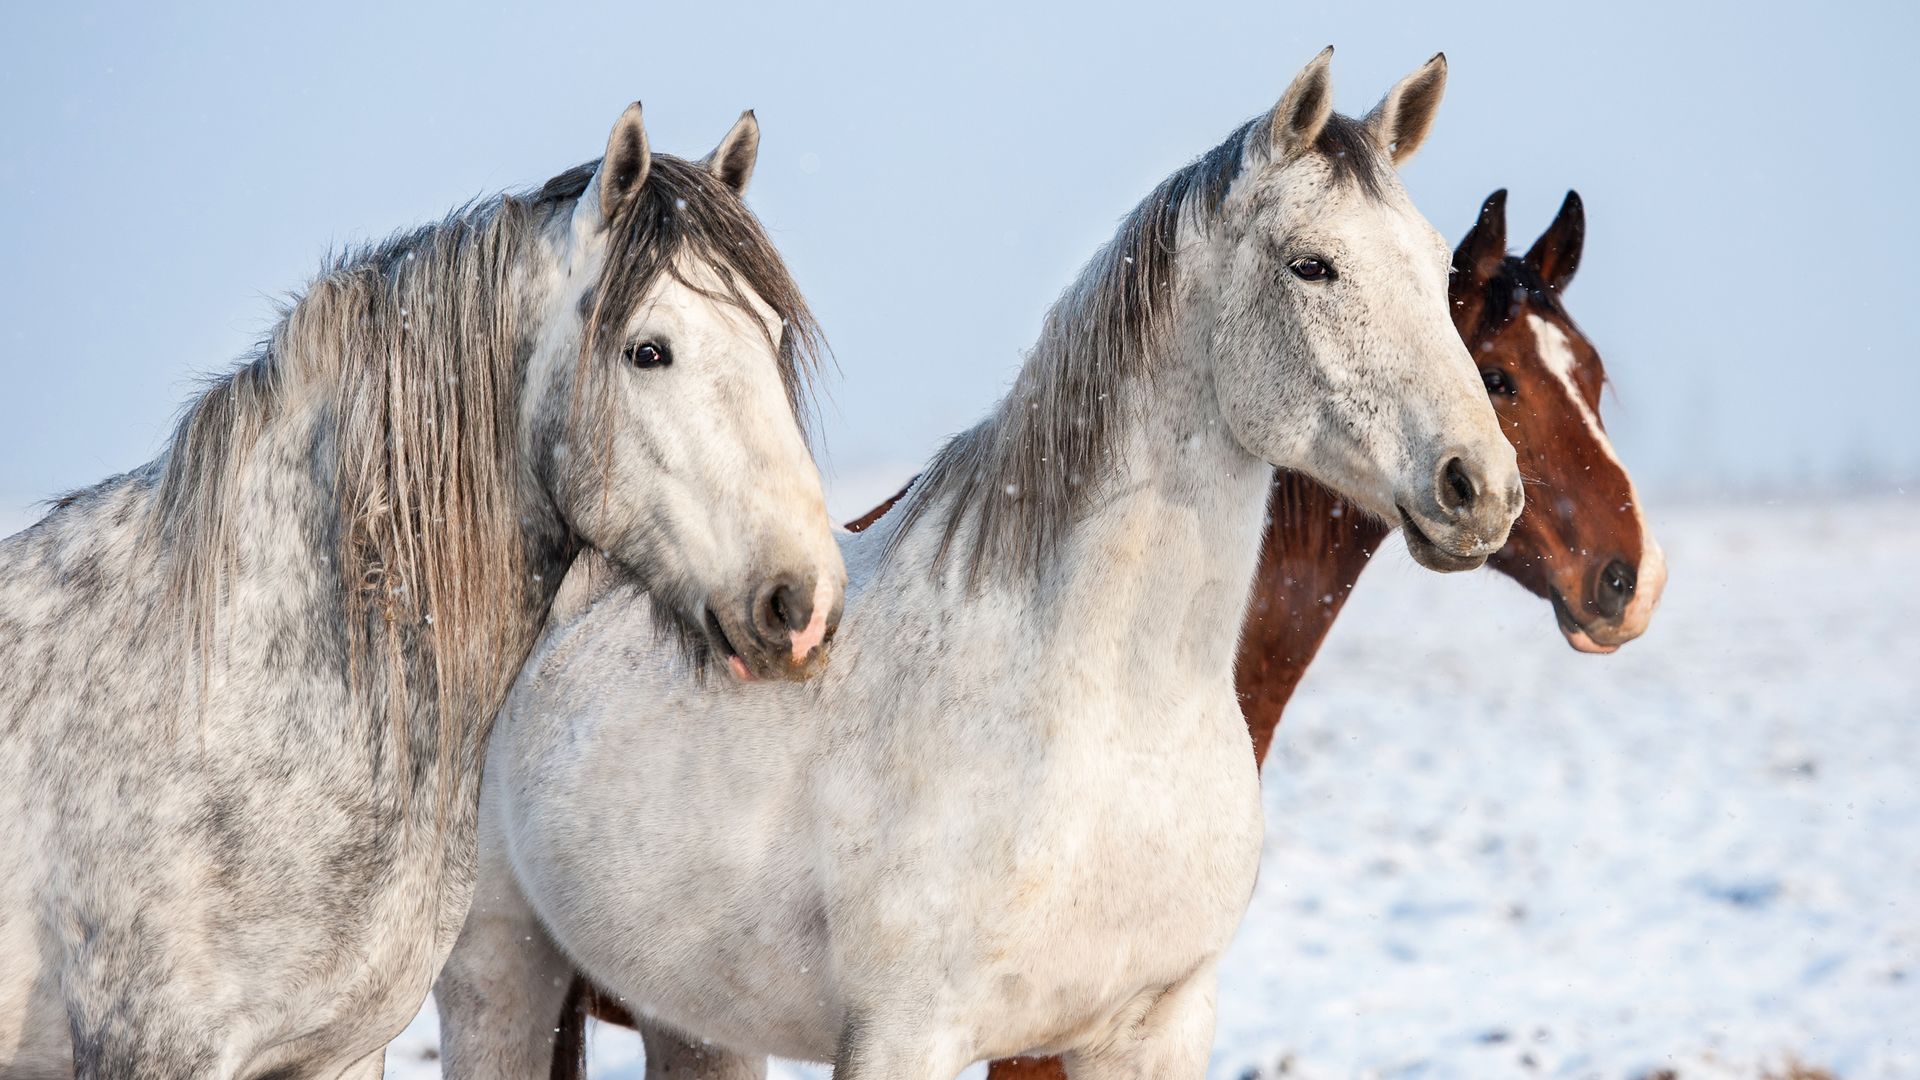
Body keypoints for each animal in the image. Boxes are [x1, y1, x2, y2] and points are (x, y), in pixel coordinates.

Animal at [0, 102, 844, 1076]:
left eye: (773, 338)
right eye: (648, 350)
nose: (804, 604)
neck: (233, 684)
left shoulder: (341, 1050)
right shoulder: (156, 1046)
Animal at [441, 50, 1520, 1076]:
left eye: (1437, 267)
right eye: (1312, 265)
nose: (1481, 486)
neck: (1108, 720)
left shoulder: (1159, 1030)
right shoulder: (903, 1036)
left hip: (694, 1021)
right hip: (497, 972)